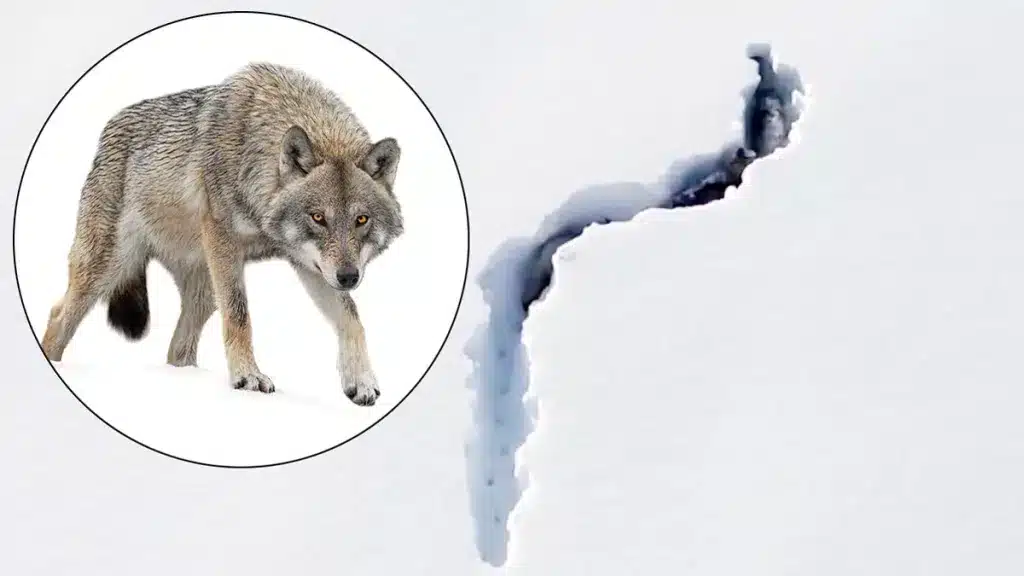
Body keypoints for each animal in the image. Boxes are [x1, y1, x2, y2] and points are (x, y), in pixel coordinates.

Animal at [40, 62, 406, 407]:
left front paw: (361, 381)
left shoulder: (309, 264)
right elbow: (240, 315)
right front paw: (248, 377)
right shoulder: (226, 243)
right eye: (318, 218)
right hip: (108, 269)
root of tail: (109, 127)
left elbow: (351, 317)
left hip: (203, 294)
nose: (348, 277)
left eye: (361, 219)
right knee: (59, 315)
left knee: (178, 350)